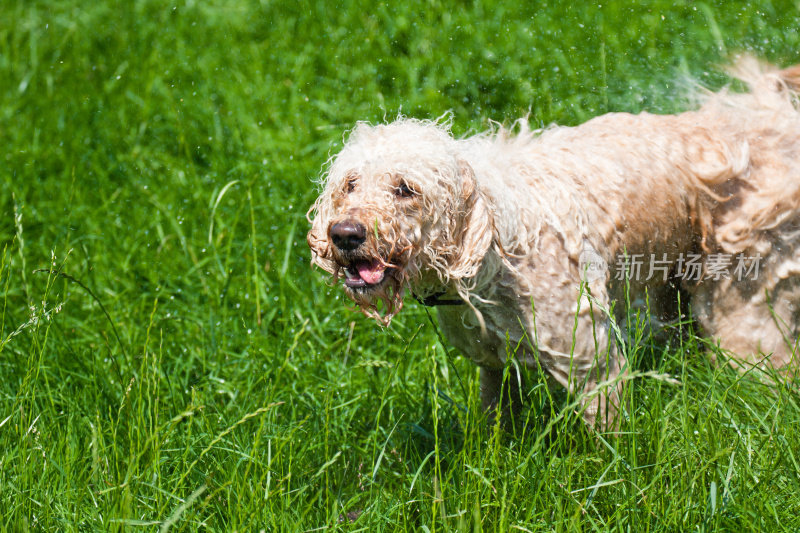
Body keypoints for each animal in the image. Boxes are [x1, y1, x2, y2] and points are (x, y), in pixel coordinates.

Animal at [306, 56, 800, 426]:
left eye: (405, 189)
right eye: (350, 184)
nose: (344, 234)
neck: (495, 250)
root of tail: (767, 122)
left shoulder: (590, 361)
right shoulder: (492, 364)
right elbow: (493, 429)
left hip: (742, 306)